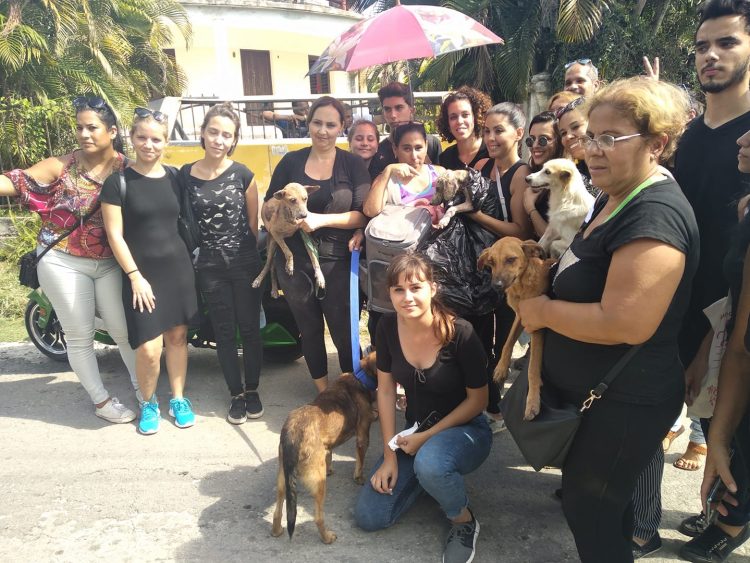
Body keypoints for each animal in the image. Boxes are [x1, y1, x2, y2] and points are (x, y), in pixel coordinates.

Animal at [270, 354, 378, 544]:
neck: (360, 377)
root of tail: (293, 433)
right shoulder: (363, 435)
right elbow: (360, 460)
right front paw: (359, 477)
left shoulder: (327, 446)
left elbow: (329, 455)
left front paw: (330, 468)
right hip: (319, 484)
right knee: (318, 518)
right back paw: (327, 537)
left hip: (283, 479)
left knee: (277, 512)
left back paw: (277, 531)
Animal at [478, 237, 556, 418]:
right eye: (491, 262)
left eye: (511, 259)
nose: (496, 285)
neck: (521, 286)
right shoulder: (520, 317)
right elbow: (507, 343)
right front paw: (500, 368)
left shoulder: (536, 326)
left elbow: (533, 368)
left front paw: (532, 401)